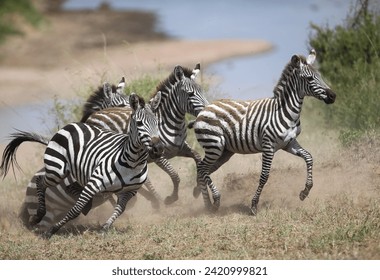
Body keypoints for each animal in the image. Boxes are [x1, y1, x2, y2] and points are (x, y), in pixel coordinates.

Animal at [0, 88, 163, 238]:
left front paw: (105, 228)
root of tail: (69, 125)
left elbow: (119, 210)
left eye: (157, 123)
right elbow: (76, 209)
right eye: (139, 123)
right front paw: (51, 231)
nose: (158, 148)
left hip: (74, 172)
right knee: (41, 181)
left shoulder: (129, 192)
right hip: (56, 170)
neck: (133, 162)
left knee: (69, 186)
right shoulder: (94, 183)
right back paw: (38, 216)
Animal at [190, 49, 336, 214]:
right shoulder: (268, 146)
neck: (285, 111)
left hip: (224, 151)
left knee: (205, 169)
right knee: (202, 168)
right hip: (213, 144)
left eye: (320, 76)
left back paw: (204, 201)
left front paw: (305, 191)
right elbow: (264, 175)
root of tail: (204, 108)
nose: (333, 96)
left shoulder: (289, 143)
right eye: (310, 78)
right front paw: (254, 205)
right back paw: (214, 201)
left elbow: (309, 157)